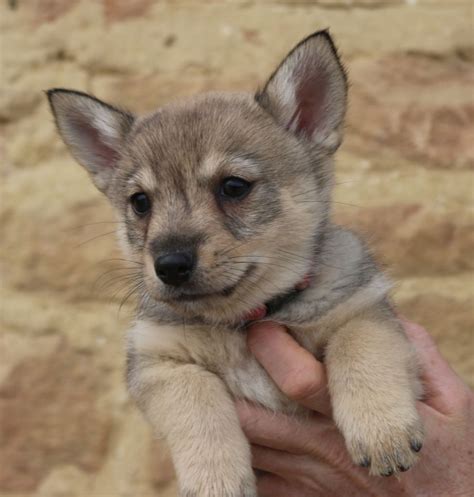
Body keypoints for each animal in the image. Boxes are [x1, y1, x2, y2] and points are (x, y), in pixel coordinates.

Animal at [48, 31, 424, 496]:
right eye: (140, 203)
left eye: (233, 187)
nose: (169, 264)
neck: (243, 321)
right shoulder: (159, 363)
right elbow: (197, 401)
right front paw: (216, 478)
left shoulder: (364, 311)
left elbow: (359, 348)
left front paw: (382, 430)